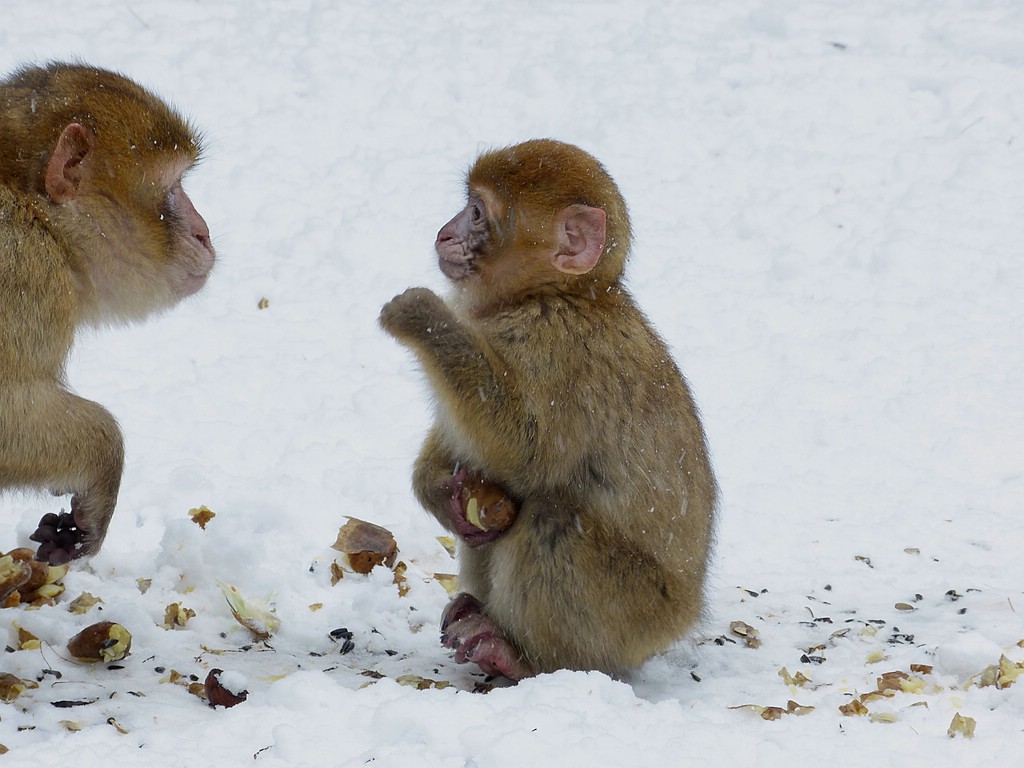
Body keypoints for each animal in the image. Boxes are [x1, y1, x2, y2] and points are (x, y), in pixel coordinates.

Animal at [378, 138, 720, 679]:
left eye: (477, 213)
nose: (445, 233)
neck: (557, 293)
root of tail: (683, 617)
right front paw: (440, 489)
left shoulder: (554, 346)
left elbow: (526, 452)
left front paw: (425, 319)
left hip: (633, 614)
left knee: (551, 519)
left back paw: (524, 658)